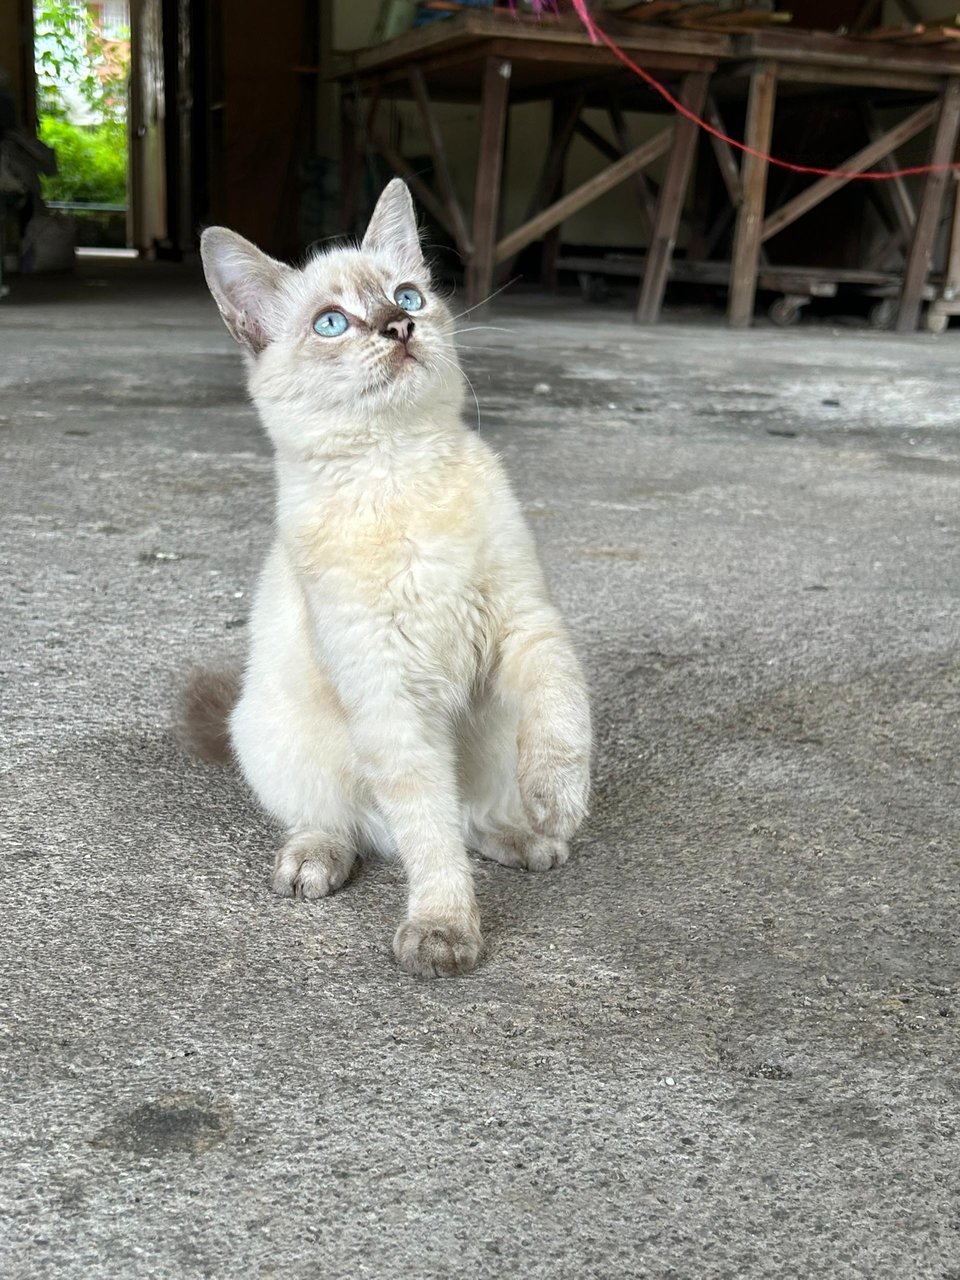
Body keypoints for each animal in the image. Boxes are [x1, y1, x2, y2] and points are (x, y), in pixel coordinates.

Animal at [183, 180, 591, 972]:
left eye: (408, 295)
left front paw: (558, 800)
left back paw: (529, 837)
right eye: (331, 323)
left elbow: (562, 718)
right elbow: (429, 838)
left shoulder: (526, 627)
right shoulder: (391, 698)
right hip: (280, 742)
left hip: (489, 737)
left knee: (473, 818)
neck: (399, 471)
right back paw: (315, 861)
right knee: (355, 824)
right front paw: (444, 929)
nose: (398, 326)